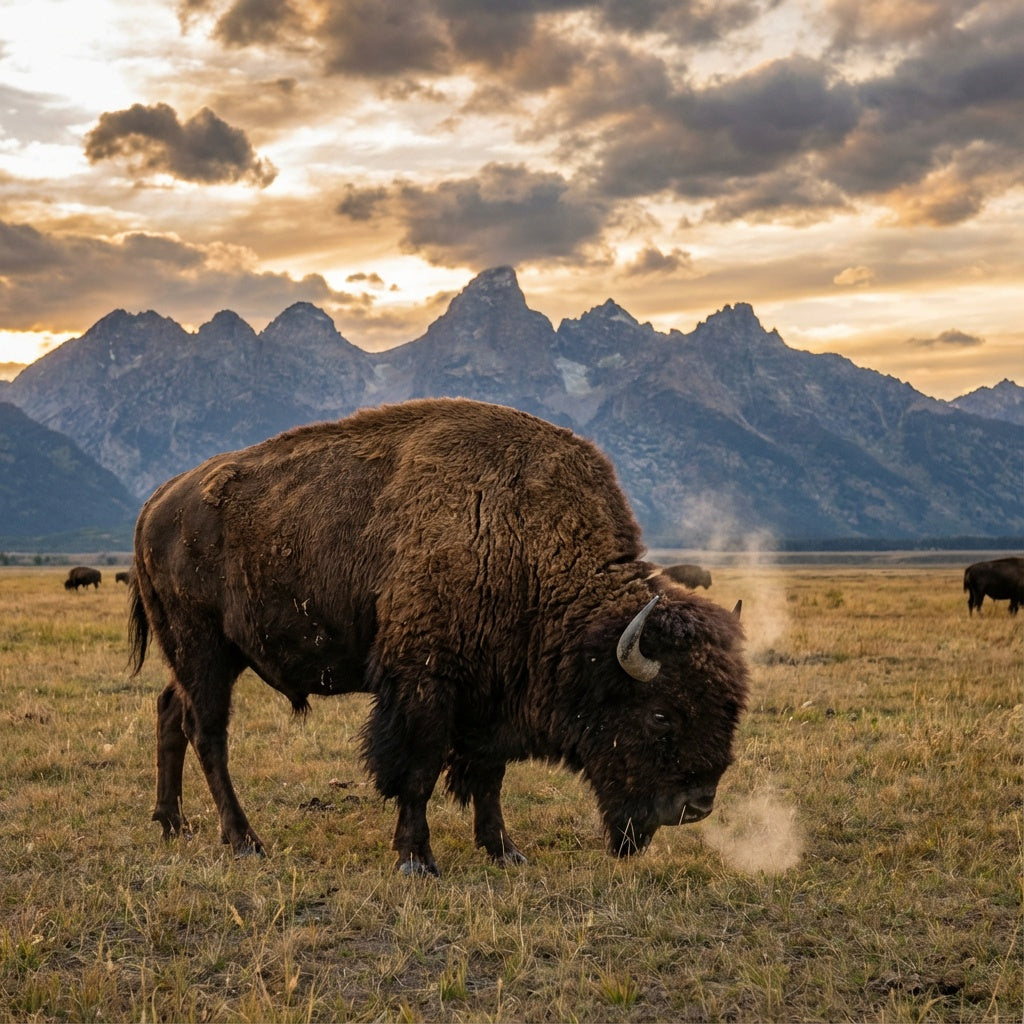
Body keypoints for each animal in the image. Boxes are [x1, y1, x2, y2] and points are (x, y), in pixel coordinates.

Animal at [129, 398, 748, 876]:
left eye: (730, 709)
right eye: (661, 715)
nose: (697, 804)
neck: (521, 539)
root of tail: (157, 501)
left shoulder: (494, 696)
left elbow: (489, 776)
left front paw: (506, 852)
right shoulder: (425, 684)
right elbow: (419, 771)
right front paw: (416, 860)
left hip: (208, 656)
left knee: (169, 712)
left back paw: (172, 824)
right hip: (203, 649)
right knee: (207, 733)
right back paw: (244, 842)